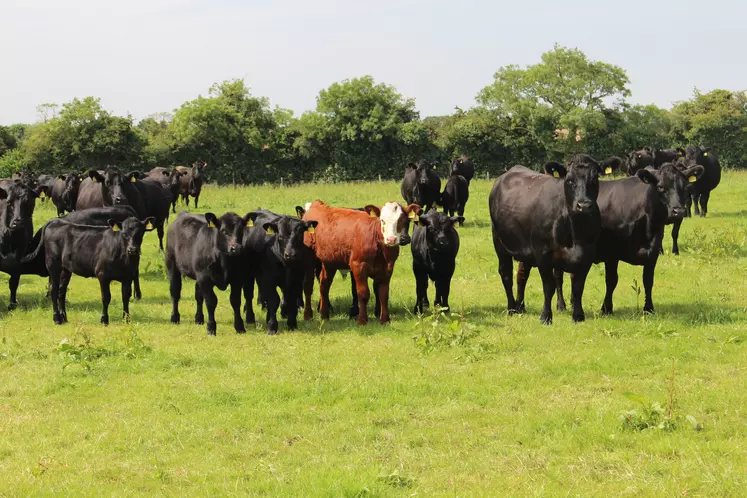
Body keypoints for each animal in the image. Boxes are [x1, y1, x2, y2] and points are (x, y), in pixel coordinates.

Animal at [22, 216, 156, 324]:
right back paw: (56, 319)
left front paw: (126, 319)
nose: (132, 249)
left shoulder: (128, 277)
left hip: (66, 269)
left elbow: (125, 297)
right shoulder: (103, 275)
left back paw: (64, 317)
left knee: (62, 291)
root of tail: (56, 220)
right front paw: (104, 319)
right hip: (53, 265)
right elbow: (106, 297)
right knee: (53, 290)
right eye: (123, 233)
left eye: (141, 233)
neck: (124, 258)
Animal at [490, 157, 600, 326]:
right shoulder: (543, 255)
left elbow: (577, 287)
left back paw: (520, 306)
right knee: (506, 274)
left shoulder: (587, 255)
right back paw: (512, 308)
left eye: (595, 179)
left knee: (522, 276)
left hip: (525, 253)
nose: (584, 205)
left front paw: (578, 316)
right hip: (500, 244)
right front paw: (545, 316)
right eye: (569, 180)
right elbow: (549, 286)